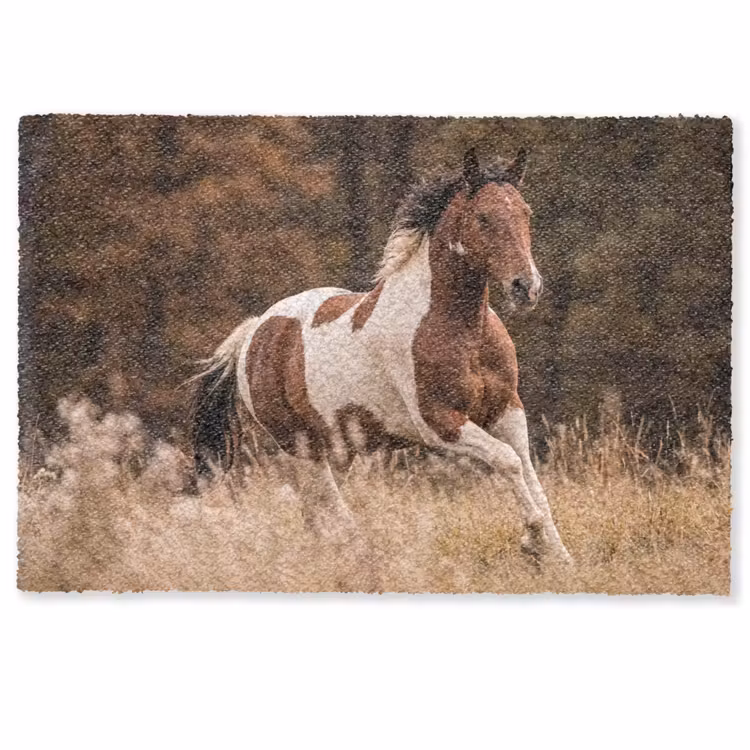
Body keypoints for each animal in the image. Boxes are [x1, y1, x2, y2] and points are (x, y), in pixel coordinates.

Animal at [191, 148, 572, 565]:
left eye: (525, 212)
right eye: (483, 217)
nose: (526, 287)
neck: (459, 328)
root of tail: (255, 332)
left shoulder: (507, 410)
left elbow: (530, 475)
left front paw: (559, 556)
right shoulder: (439, 423)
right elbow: (508, 461)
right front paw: (532, 540)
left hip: (338, 450)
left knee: (315, 512)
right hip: (300, 445)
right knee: (328, 506)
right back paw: (360, 550)